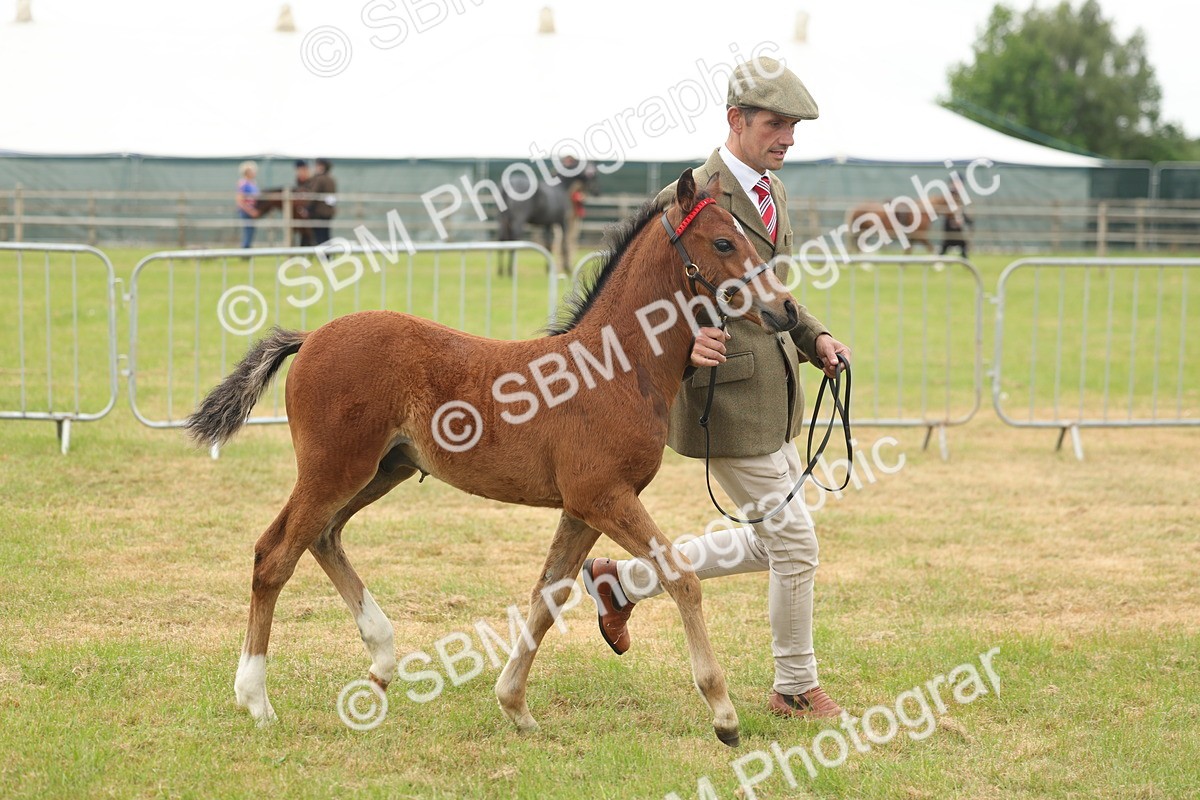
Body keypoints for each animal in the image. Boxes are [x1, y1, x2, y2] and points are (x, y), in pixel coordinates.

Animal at [184, 169, 801, 747]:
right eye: (723, 242)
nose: (788, 310)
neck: (617, 367)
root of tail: (310, 337)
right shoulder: (604, 496)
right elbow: (681, 577)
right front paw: (723, 714)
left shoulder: (582, 507)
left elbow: (549, 595)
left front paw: (514, 705)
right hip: (334, 468)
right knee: (274, 554)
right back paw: (256, 698)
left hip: (383, 470)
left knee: (323, 536)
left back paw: (381, 657)